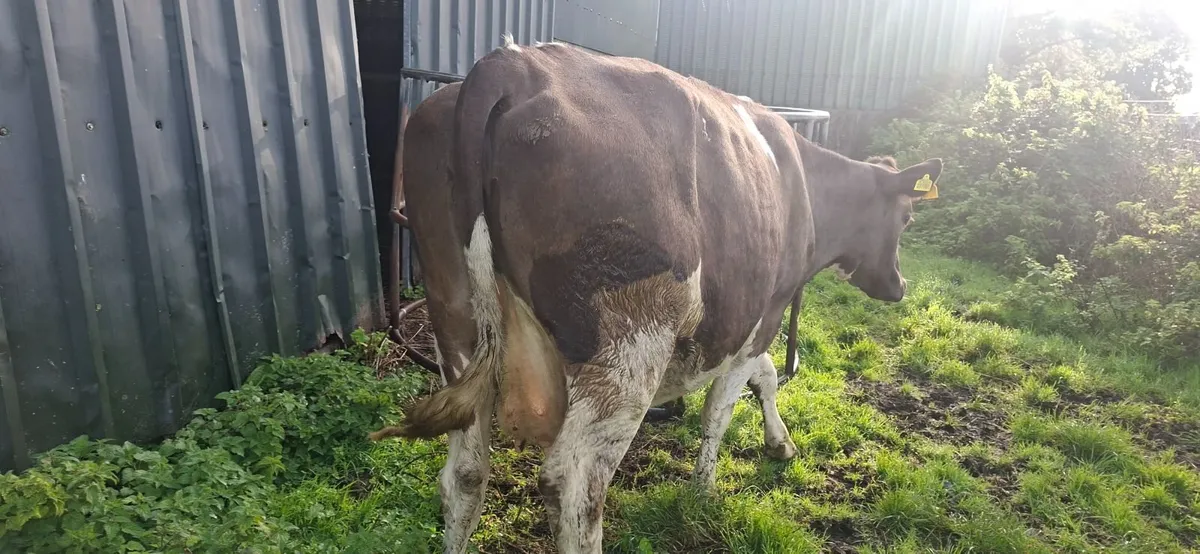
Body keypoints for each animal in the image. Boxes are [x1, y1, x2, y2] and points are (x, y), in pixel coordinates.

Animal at [372, 37, 942, 553]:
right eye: (907, 219)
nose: (899, 286)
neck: (806, 184)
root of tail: (512, 63)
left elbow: (762, 378)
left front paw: (779, 444)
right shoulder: (763, 313)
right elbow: (727, 405)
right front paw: (706, 490)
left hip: (456, 322)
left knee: (465, 475)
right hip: (628, 346)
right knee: (574, 486)